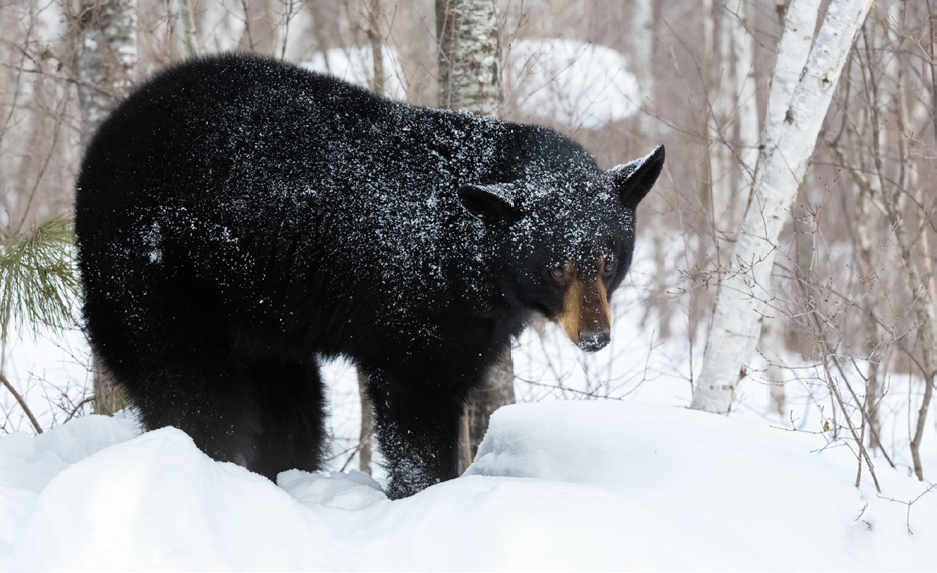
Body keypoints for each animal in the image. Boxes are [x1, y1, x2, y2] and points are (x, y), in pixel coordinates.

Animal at [75, 53, 664, 499]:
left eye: (609, 260)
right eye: (556, 264)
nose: (596, 336)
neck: (470, 254)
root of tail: (102, 141)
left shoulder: (479, 320)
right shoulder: (414, 307)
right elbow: (416, 405)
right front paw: (426, 494)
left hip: (261, 321)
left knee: (291, 406)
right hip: (155, 275)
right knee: (190, 388)